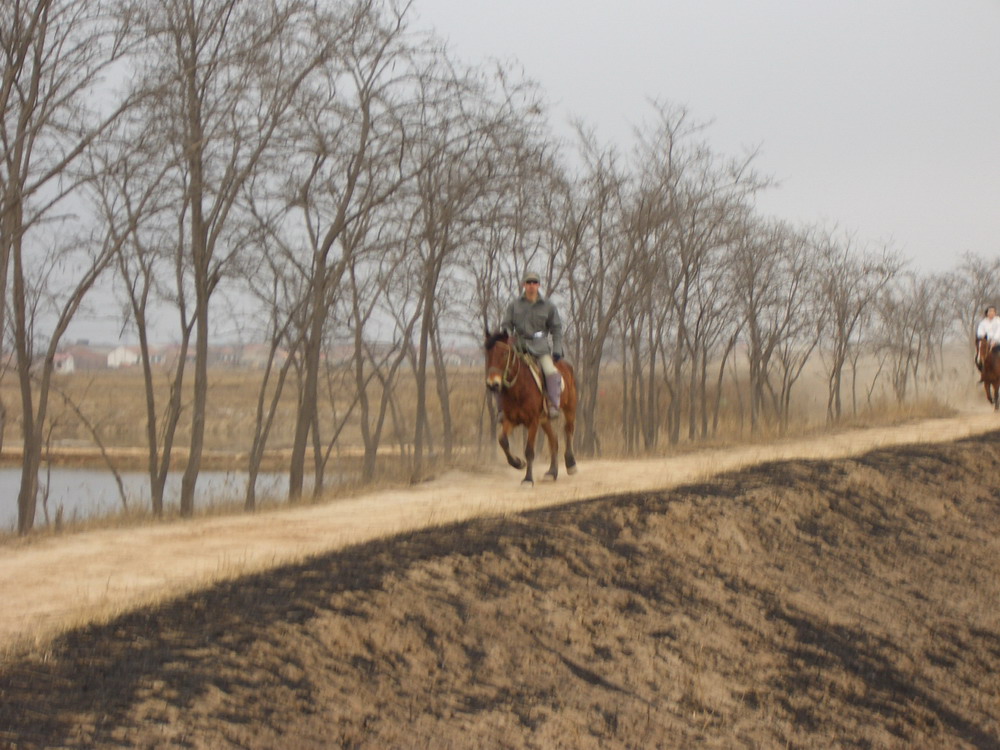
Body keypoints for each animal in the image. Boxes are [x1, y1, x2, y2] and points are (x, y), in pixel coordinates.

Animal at [484, 334, 580, 488]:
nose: (493, 384)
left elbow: (529, 450)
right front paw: (518, 463)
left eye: (504, 353)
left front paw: (528, 479)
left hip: (570, 408)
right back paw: (551, 472)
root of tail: (567, 365)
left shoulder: (533, 421)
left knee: (568, 429)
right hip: (545, 419)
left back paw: (571, 464)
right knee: (553, 440)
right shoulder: (510, 420)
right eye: (487, 354)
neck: (518, 389)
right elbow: (503, 440)